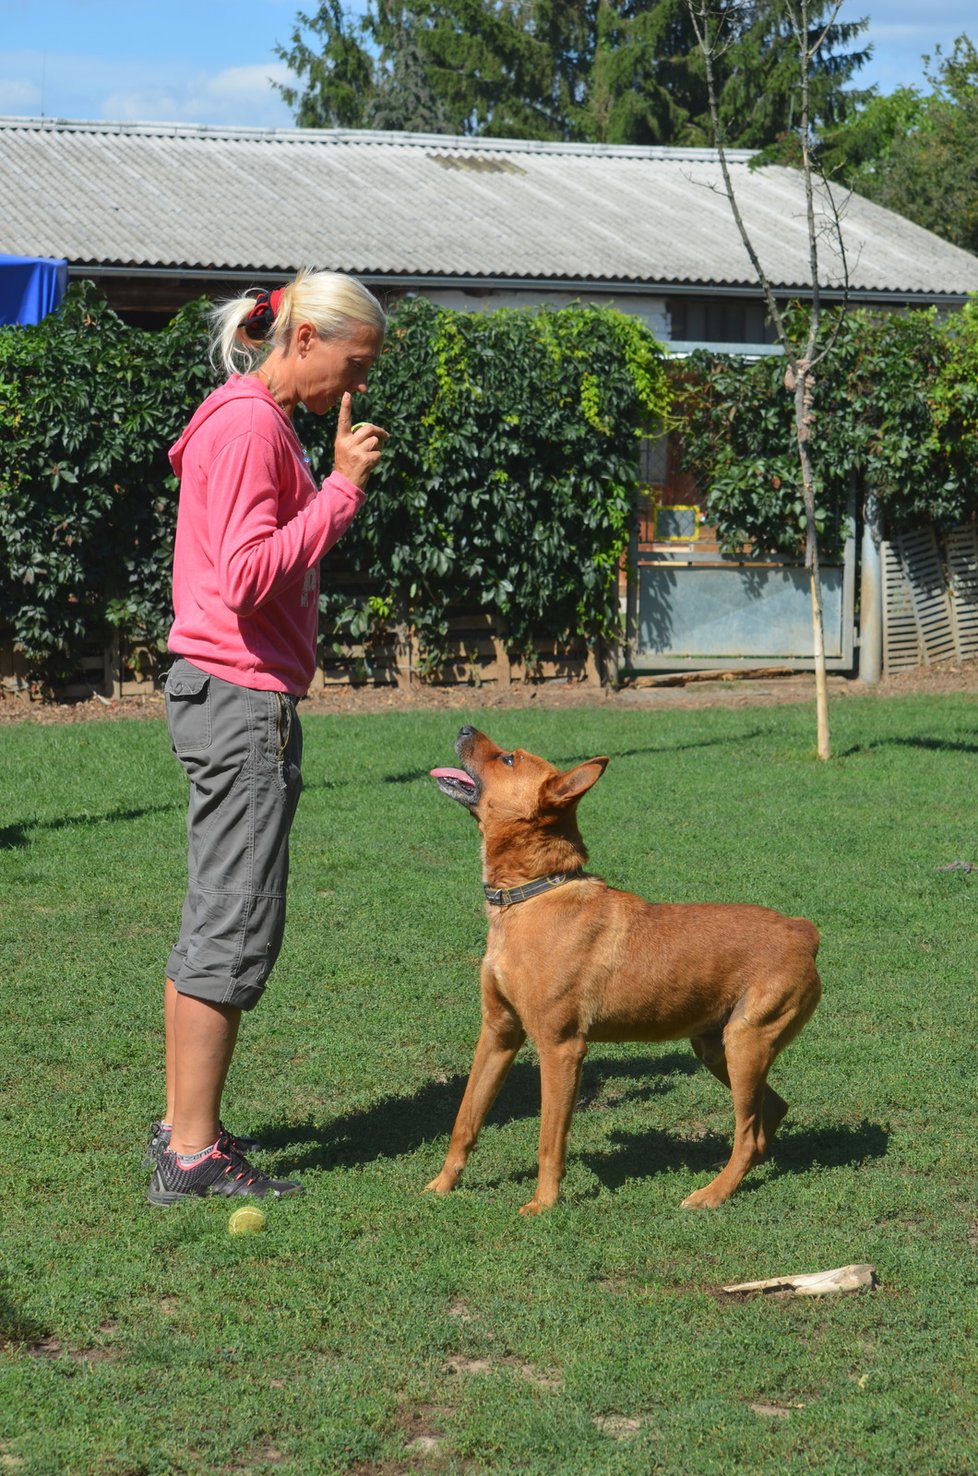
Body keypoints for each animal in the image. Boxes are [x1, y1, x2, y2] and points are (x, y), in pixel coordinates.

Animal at [433, 720, 820, 1216]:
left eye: (509, 759)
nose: (464, 726)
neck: (529, 896)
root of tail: (803, 931)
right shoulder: (499, 1032)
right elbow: (465, 1119)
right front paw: (440, 1186)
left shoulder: (560, 1048)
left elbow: (549, 1141)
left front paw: (543, 1205)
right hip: (716, 1047)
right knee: (769, 1114)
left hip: (745, 1042)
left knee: (749, 1133)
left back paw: (711, 1194)